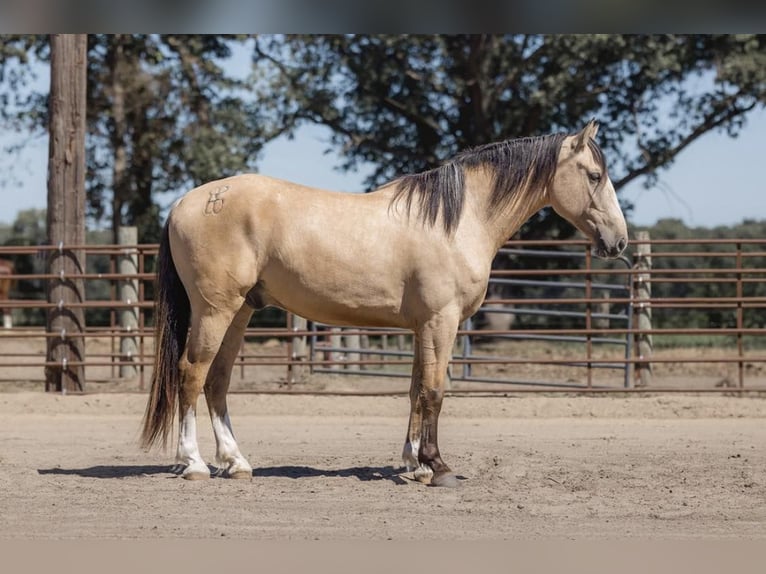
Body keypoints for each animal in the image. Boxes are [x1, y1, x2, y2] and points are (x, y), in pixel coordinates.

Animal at [141, 119, 628, 488]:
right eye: (594, 175)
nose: (619, 241)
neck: (456, 220)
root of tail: (186, 202)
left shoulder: (422, 327)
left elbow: (414, 390)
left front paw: (414, 464)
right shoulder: (441, 321)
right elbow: (434, 391)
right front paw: (438, 467)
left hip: (240, 311)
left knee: (217, 381)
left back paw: (236, 462)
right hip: (215, 310)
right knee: (191, 373)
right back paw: (195, 464)